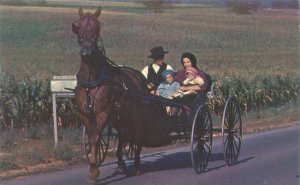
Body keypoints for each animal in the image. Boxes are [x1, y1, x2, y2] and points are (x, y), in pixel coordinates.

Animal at [72, 7, 173, 182]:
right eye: (79, 26)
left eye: (97, 27)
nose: (87, 49)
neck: (93, 81)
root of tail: (139, 77)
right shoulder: (85, 113)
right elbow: (93, 137)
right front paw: (93, 167)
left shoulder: (104, 112)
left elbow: (95, 137)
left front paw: (94, 171)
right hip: (121, 117)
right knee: (124, 135)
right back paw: (121, 163)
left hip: (136, 116)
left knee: (136, 136)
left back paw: (137, 165)